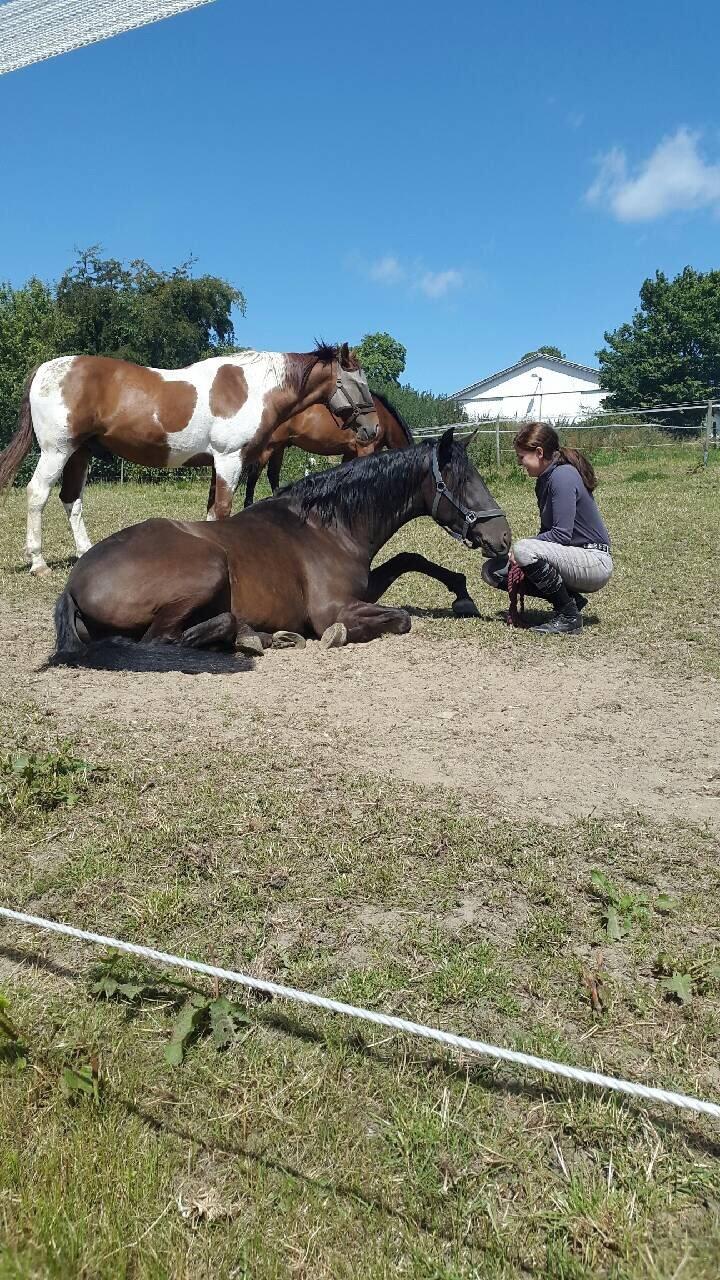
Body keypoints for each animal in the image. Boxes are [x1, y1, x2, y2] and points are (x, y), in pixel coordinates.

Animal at [0, 343, 381, 578]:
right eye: (358, 383)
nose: (373, 429)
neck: (254, 388)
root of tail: (46, 369)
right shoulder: (228, 460)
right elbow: (223, 511)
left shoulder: (218, 464)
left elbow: (212, 512)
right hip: (58, 451)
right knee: (38, 494)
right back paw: (38, 562)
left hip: (80, 453)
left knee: (71, 500)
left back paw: (85, 552)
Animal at [51, 432, 509, 670]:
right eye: (464, 481)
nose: (503, 538)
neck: (327, 526)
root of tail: (73, 583)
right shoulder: (334, 608)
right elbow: (400, 618)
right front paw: (339, 636)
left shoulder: (363, 587)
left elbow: (408, 559)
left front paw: (462, 594)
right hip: (208, 568)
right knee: (165, 640)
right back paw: (249, 636)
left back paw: (262, 637)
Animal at [238, 386, 412, 506]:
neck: (382, 419)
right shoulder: (364, 449)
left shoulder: (350, 452)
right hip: (268, 447)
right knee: (254, 475)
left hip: (279, 447)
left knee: (273, 474)